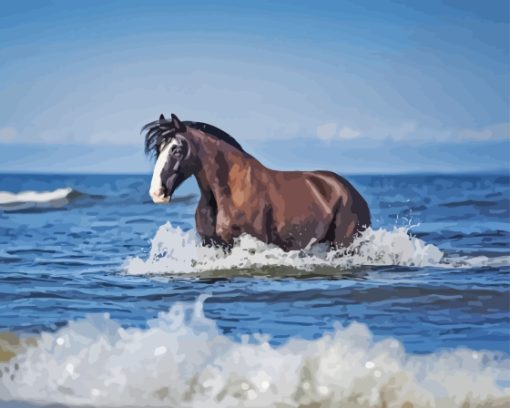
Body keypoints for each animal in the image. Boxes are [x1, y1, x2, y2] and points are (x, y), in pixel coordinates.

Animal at [142, 113, 370, 250]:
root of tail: (352, 192)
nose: (157, 192)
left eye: (176, 149)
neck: (229, 192)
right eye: (159, 148)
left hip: (344, 245)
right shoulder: (214, 244)